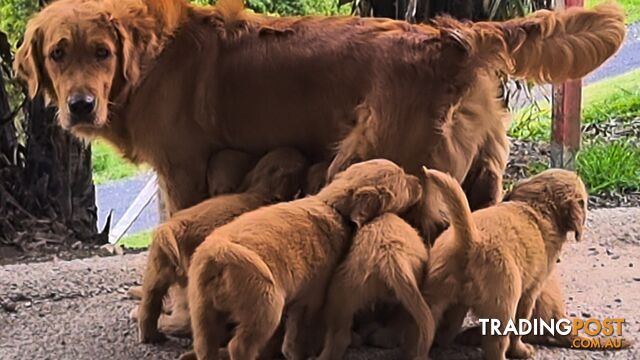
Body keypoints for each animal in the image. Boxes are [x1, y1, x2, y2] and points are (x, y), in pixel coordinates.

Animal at [135, 147, 308, 344]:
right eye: (298, 164)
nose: (301, 152)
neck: (259, 190)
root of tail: (173, 228)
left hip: (155, 272)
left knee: (149, 303)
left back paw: (151, 336)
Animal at [180, 160, 420, 360]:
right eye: (402, 180)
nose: (418, 181)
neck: (332, 205)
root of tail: (218, 255)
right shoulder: (311, 297)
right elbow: (297, 333)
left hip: (201, 309)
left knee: (205, 344)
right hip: (264, 307)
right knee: (239, 346)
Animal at [422, 169, 588, 360]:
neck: (537, 208)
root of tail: (472, 240)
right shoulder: (530, 292)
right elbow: (519, 326)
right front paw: (521, 351)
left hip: (435, 296)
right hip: (504, 303)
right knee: (496, 344)